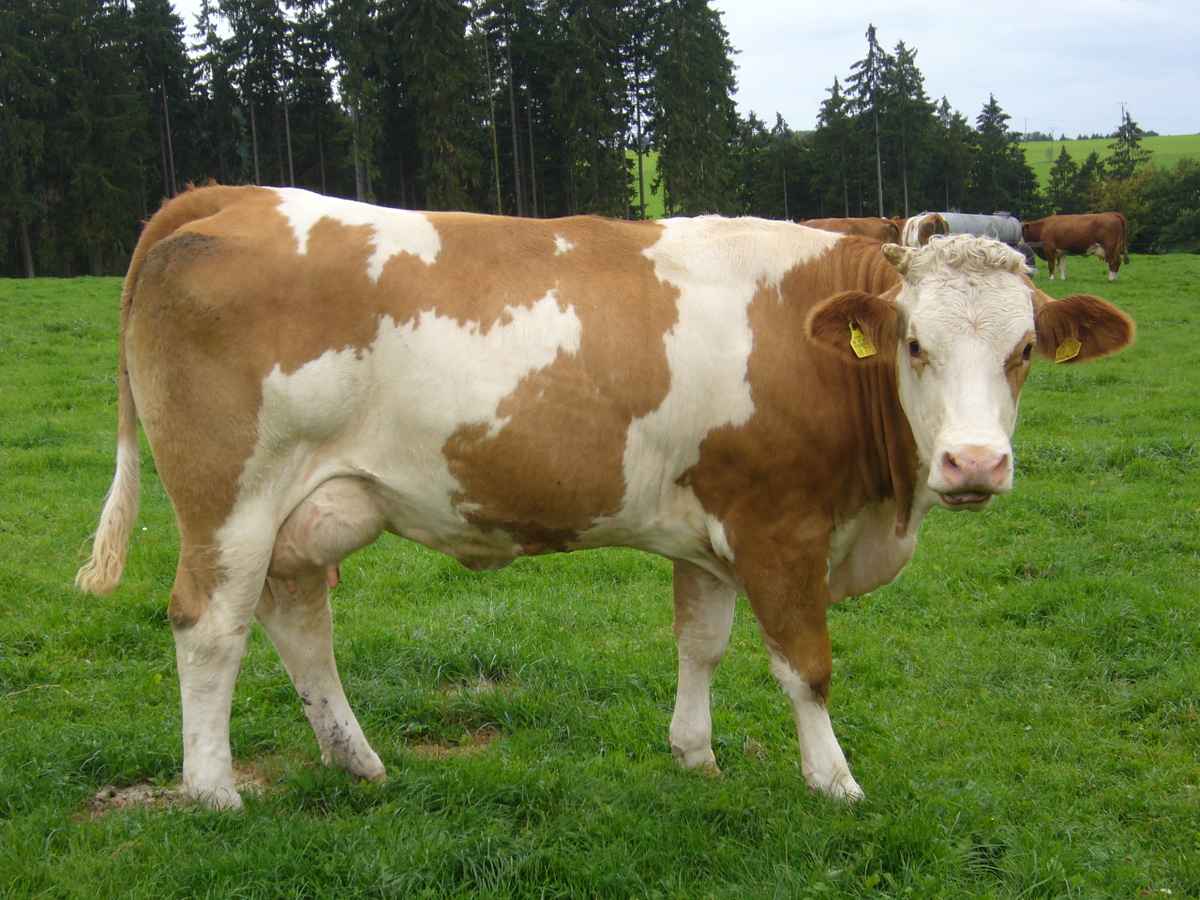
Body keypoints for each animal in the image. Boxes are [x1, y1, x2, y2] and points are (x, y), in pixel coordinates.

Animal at [77, 186, 1134, 810]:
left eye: (1025, 351)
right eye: (914, 344)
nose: (974, 465)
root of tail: (236, 194)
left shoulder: (717, 525)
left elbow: (701, 643)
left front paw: (694, 755)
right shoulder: (780, 526)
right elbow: (806, 666)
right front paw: (834, 782)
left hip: (315, 506)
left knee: (298, 621)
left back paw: (356, 761)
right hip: (231, 499)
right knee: (210, 626)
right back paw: (213, 791)